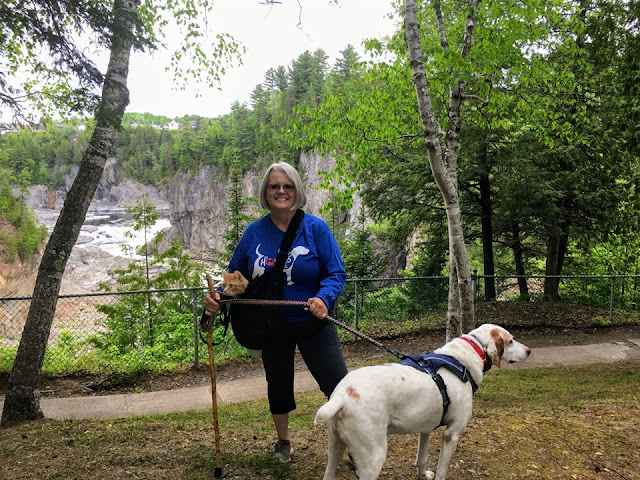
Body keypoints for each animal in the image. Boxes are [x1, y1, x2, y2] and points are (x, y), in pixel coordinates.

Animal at [316, 324, 528, 478]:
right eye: (511, 340)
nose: (529, 351)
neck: (463, 359)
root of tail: (343, 393)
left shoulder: (425, 429)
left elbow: (422, 459)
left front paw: (423, 475)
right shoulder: (451, 435)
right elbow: (442, 471)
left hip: (335, 449)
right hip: (373, 458)